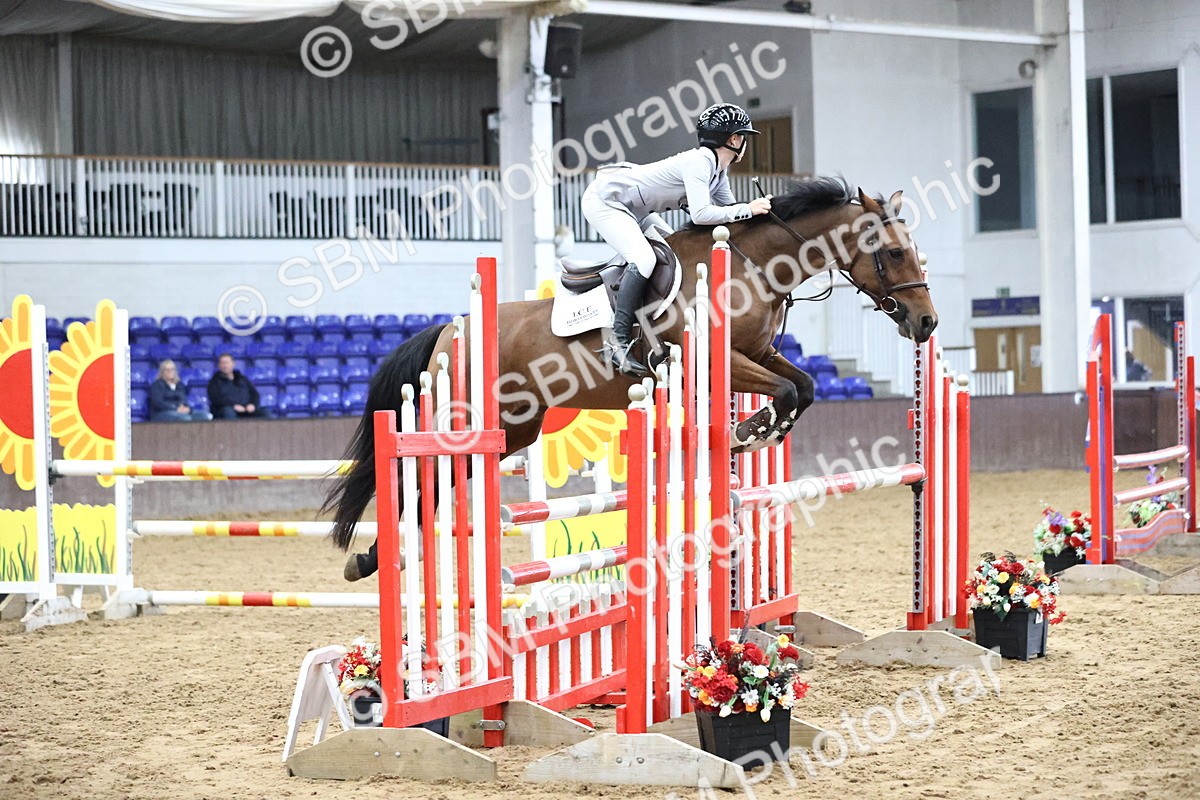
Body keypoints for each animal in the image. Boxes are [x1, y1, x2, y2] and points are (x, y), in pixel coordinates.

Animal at [323, 176, 938, 580]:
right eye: (891, 252)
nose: (926, 323)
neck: (753, 265)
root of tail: (452, 328)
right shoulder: (713, 361)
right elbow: (787, 389)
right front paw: (749, 431)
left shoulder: (757, 353)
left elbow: (803, 387)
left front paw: (759, 430)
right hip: (469, 421)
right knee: (418, 478)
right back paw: (374, 559)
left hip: (515, 429)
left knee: (434, 483)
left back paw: (378, 558)